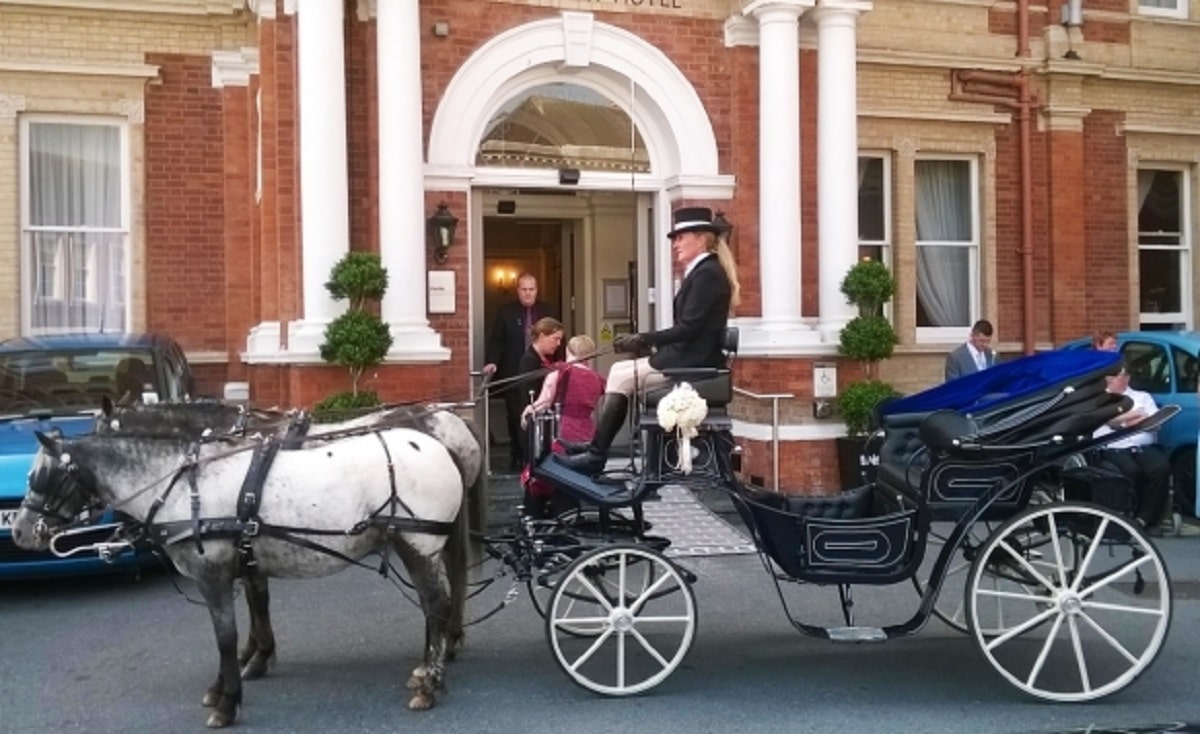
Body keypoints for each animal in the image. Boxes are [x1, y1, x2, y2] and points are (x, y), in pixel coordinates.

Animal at [14, 400, 480, 729]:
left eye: (41, 477)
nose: (20, 530)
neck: (185, 484)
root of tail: (442, 444)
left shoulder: (215, 575)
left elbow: (226, 635)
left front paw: (230, 695)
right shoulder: (246, 558)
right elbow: (250, 612)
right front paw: (237, 672)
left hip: (417, 542)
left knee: (437, 604)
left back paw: (431, 681)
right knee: (435, 605)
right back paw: (428, 669)